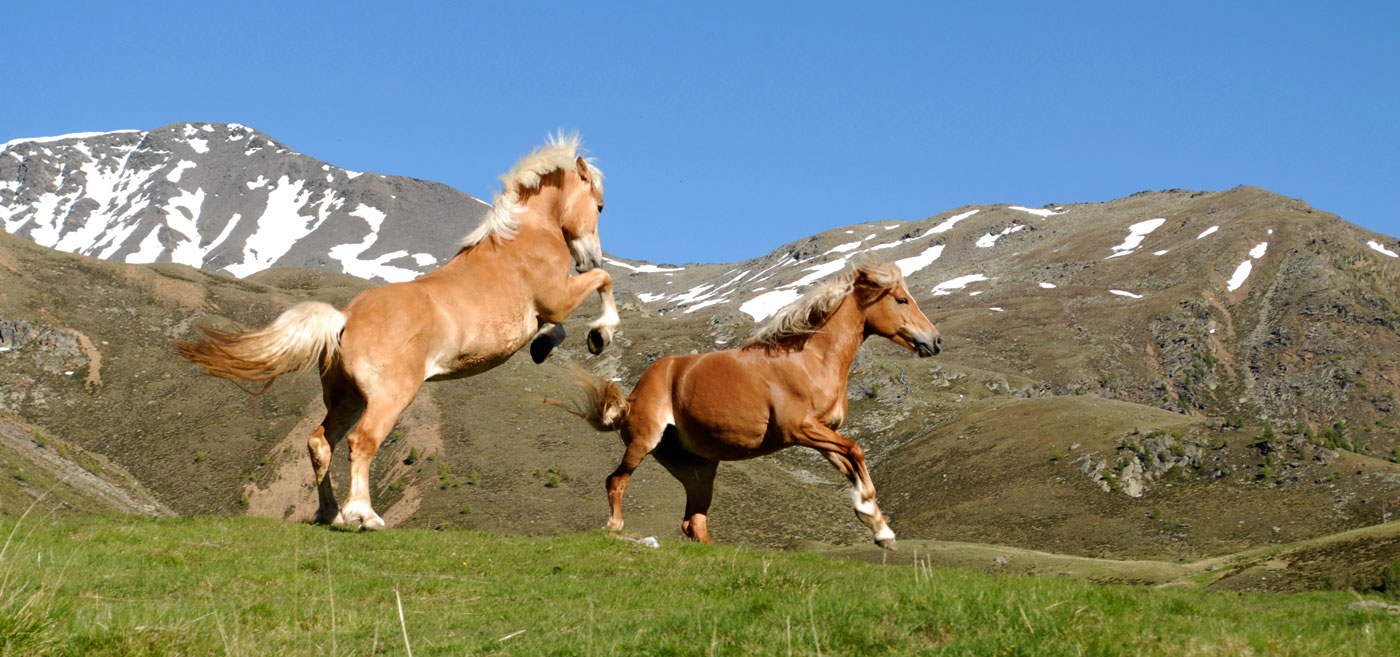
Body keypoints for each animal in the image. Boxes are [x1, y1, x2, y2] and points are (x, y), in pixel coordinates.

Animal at [177, 131, 616, 526]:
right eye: (599, 206)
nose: (589, 255)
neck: (522, 238)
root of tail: (344, 320)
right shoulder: (558, 296)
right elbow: (603, 281)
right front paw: (600, 334)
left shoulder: (552, 305)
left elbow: (561, 324)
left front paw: (544, 345)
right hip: (390, 396)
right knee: (361, 442)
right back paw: (363, 516)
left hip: (347, 398)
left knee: (321, 442)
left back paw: (329, 514)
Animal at [546, 260, 940, 549]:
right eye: (901, 300)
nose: (935, 341)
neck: (810, 358)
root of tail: (634, 393)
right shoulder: (800, 429)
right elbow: (857, 451)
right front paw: (877, 524)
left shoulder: (823, 434)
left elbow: (852, 462)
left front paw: (879, 528)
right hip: (643, 442)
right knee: (616, 482)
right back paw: (615, 526)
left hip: (700, 469)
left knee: (693, 522)